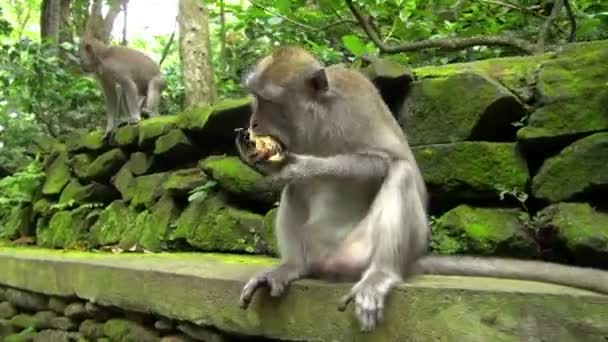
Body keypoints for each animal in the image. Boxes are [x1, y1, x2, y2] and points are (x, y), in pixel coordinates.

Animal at [235, 45, 608, 332]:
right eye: (254, 98)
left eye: (269, 101)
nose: (253, 123)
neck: (315, 121)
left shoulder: (352, 110)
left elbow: (384, 163)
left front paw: (297, 165)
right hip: (318, 251)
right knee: (294, 193)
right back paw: (291, 267)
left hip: (368, 251)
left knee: (398, 176)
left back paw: (380, 276)